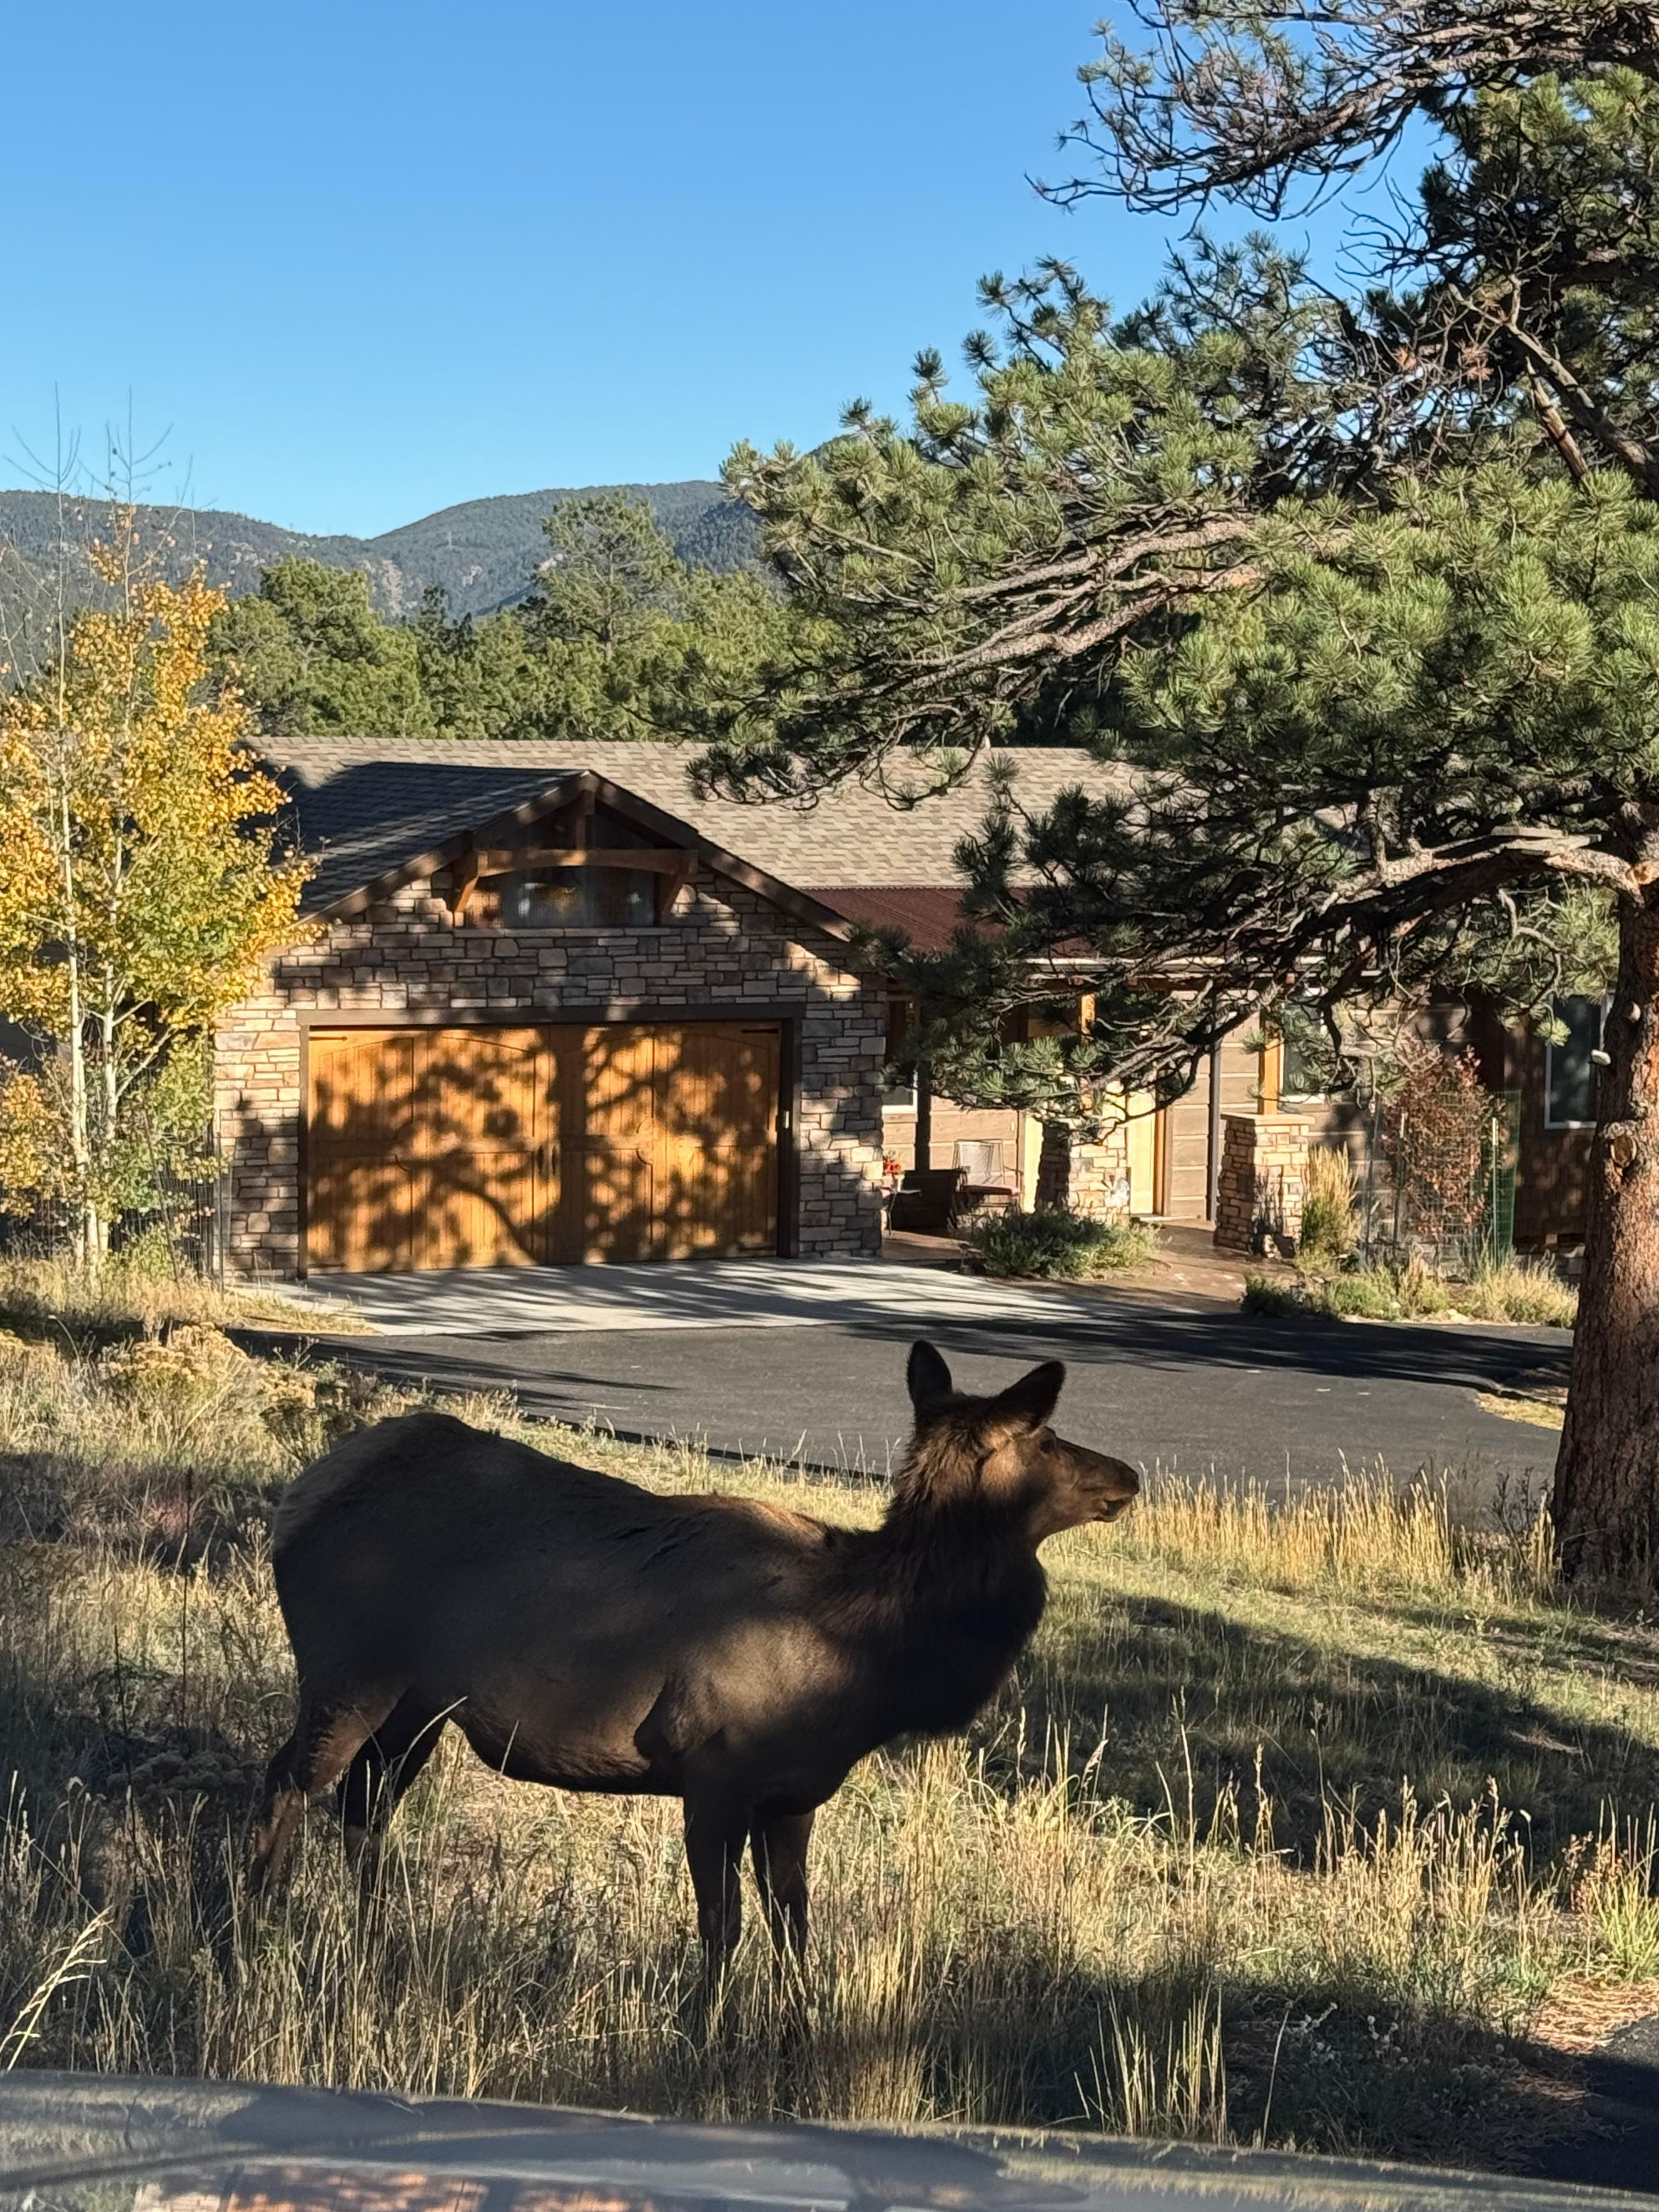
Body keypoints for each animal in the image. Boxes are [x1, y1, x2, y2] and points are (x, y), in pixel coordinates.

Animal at [247, 1341, 1139, 1962]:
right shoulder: (715, 1771)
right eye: (1048, 1439)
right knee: (288, 1782)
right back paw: (253, 1933)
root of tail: (296, 1499)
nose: (1129, 1475)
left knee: (365, 1803)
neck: (865, 1658)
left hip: (421, 1703)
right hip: (350, 1667)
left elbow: (794, 1927)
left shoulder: (795, 1791)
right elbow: (723, 1929)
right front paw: (707, 2041)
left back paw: (374, 1938)